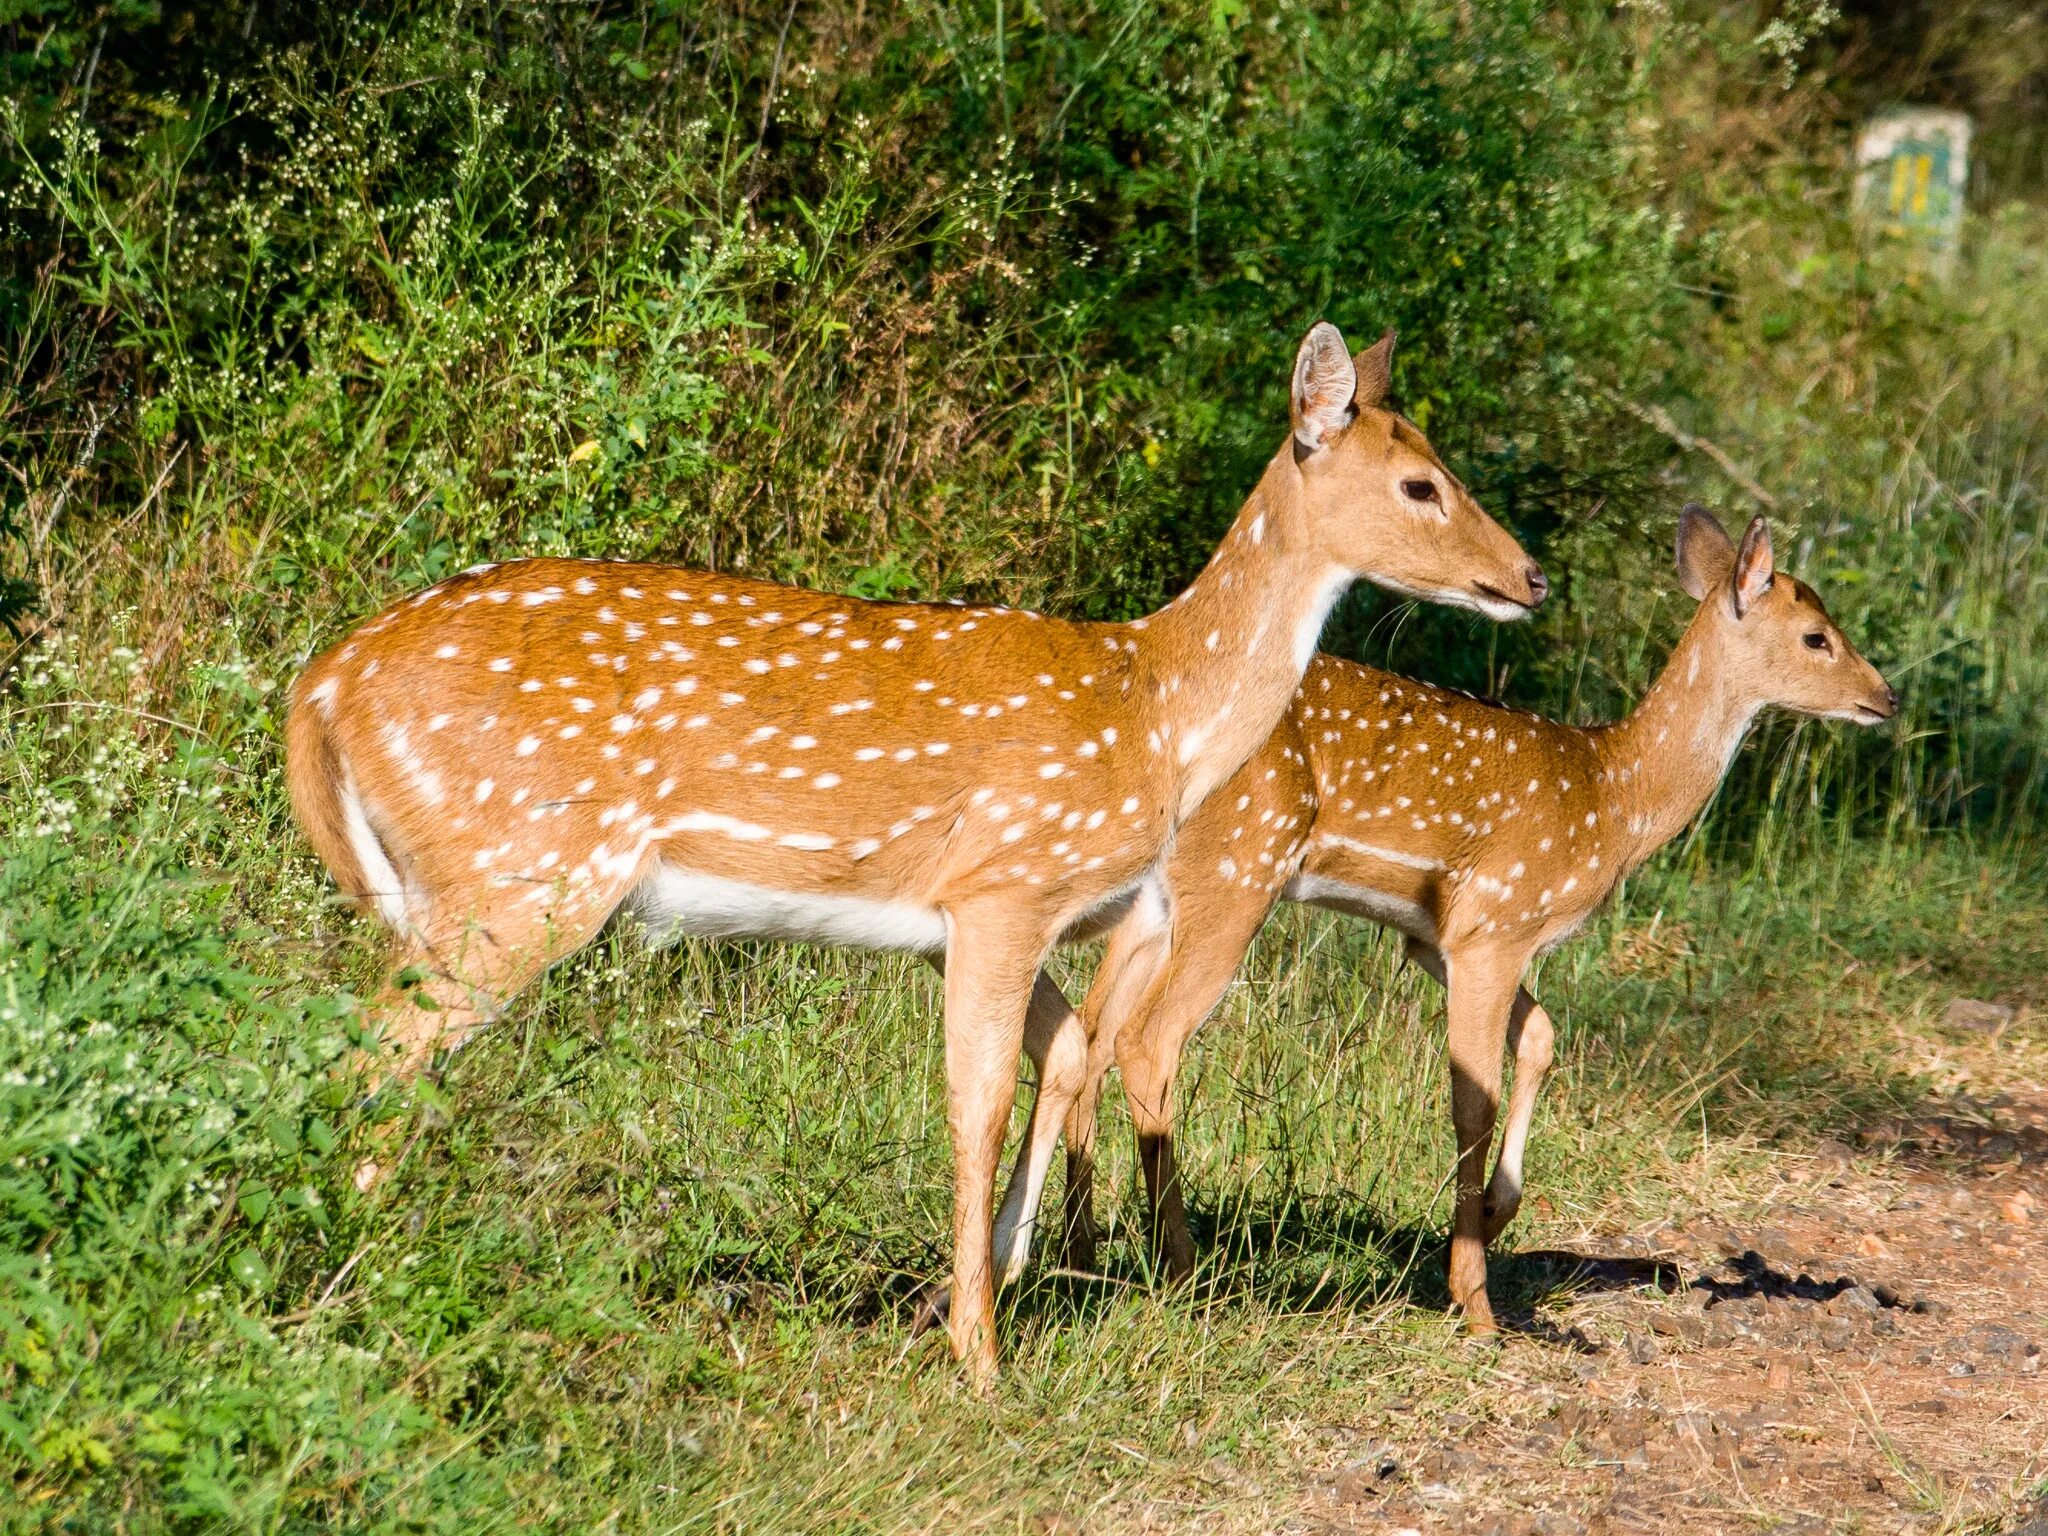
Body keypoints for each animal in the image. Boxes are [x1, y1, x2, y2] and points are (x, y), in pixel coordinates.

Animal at [280, 325, 1540, 1384]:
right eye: (1419, 483)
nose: (1527, 576)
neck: (1158, 714)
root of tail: (322, 685)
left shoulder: (1000, 911)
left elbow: (1062, 1051)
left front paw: (973, 1294)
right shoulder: (1007, 880)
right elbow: (973, 1098)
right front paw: (979, 1359)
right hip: (518, 869)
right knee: (367, 1057)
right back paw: (345, 1289)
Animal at [999, 505, 1892, 1335]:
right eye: (1817, 636)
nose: (1885, 697)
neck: (1613, 800)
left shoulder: (1440, 937)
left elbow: (1542, 1037)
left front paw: (1496, 1214)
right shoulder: (1497, 920)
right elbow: (1474, 1098)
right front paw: (1475, 1298)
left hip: (1153, 904)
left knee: (1094, 1028)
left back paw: (1081, 1249)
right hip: (1236, 875)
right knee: (1146, 1041)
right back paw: (1180, 1270)